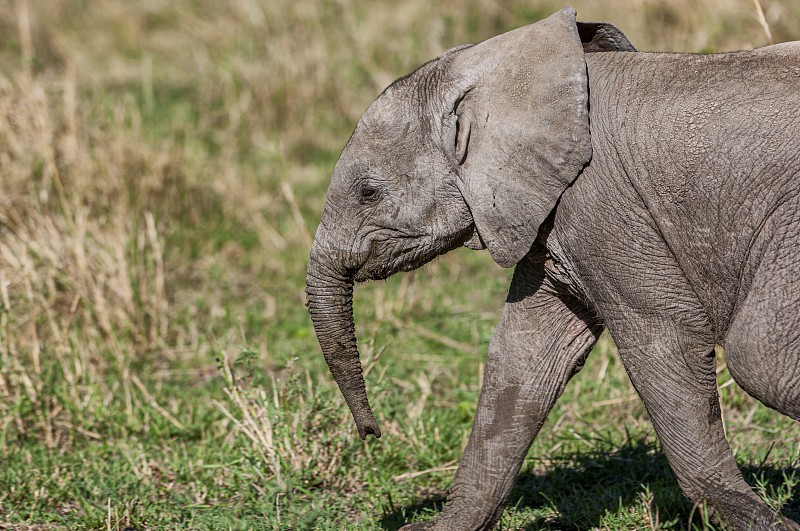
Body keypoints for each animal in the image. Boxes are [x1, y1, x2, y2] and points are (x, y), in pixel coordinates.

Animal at [304, 5, 796, 531]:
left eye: (368, 193)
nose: (372, 434)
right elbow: (523, 358)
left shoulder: (602, 201)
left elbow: (666, 338)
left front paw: (771, 525)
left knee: (759, 358)